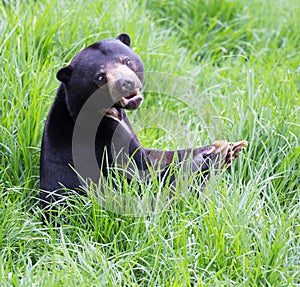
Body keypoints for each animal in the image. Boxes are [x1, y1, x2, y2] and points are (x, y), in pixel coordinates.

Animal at [39, 33, 246, 218]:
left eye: (127, 61)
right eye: (100, 77)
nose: (126, 83)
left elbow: (158, 155)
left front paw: (226, 146)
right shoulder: (104, 140)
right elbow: (147, 176)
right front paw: (218, 156)